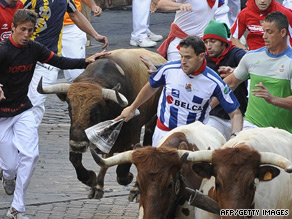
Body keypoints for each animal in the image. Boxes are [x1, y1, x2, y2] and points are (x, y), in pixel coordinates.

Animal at [37, 48, 167, 199]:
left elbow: (123, 169)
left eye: (95, 113)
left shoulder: (132, 136)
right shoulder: (77, 135)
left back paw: (135, 189)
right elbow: (74, 159)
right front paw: (90, 178)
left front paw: (128, 177)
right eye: (70, 109)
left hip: (152, 123)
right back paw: (98, 186)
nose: (78, 145)